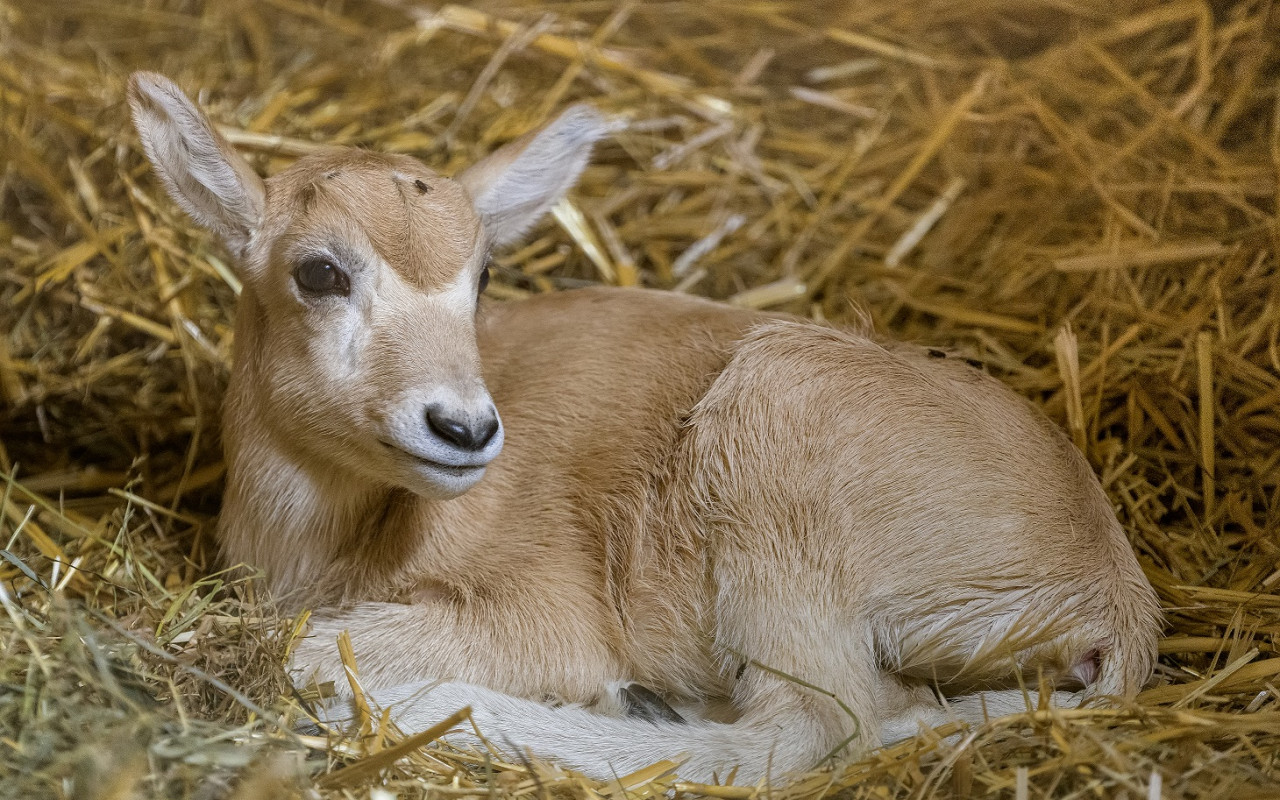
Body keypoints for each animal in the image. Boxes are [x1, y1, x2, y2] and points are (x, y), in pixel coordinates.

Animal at [127, 71, 1162, 783]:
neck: (327, 540)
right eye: (319, 272)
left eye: (483, 277)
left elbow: (302, 646)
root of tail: (1114, 590)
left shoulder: (544, 607)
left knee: (805, 730)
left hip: (782, 470)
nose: (465, 429)